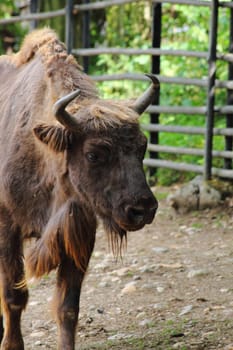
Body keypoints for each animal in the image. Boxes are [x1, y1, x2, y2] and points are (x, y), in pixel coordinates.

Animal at [0, 28, 159, 348]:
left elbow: (68, 307)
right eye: (94, 154)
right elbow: (14, 296)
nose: (143, 209)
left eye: (142, 147)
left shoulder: (79, 232)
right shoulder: (7, 227)